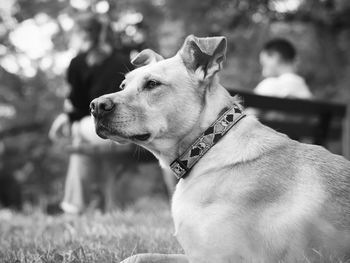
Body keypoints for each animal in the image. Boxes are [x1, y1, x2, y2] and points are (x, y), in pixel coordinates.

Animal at [89, 35, 350, 263]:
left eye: (152, 84)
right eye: (123, 85)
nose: (95, 106)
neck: (209, 144)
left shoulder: (220, 258)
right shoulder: (194, 254)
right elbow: (136, 256)